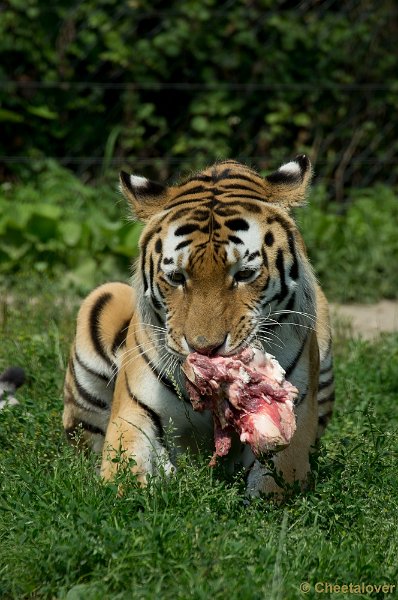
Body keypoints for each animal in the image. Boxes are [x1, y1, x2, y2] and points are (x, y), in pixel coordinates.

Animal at [63, 156, 336, 496]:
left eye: (244, 274)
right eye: (177, 277)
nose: (205, 349)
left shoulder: (294, 413)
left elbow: (274, 485)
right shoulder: (134, 411)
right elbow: (122, 475)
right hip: (101, 299)